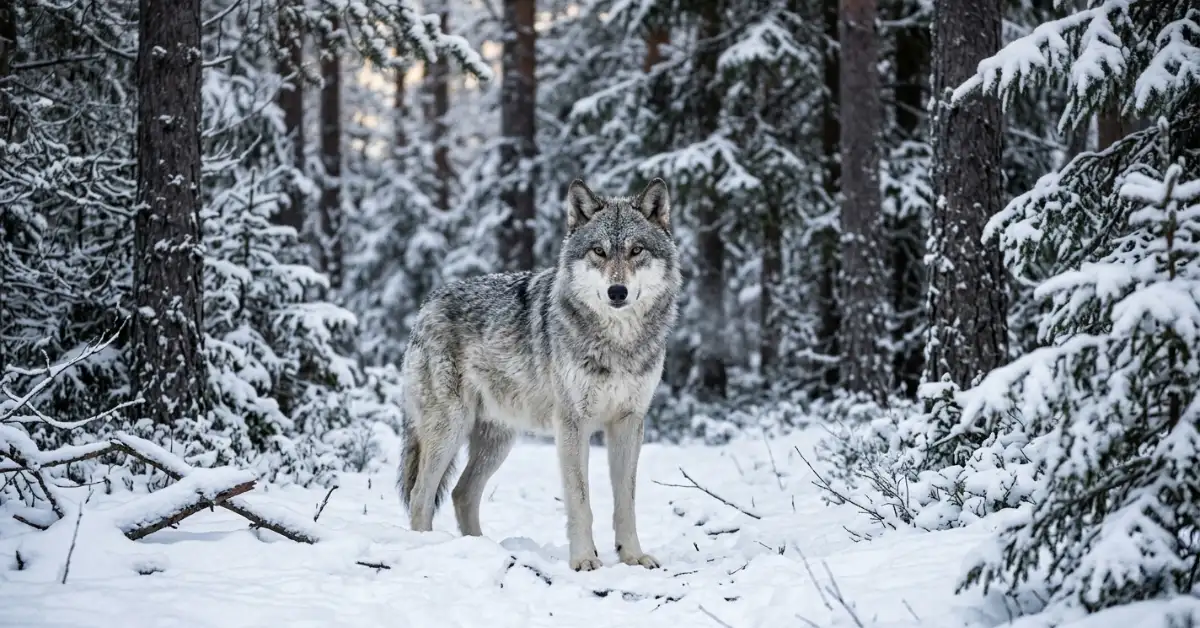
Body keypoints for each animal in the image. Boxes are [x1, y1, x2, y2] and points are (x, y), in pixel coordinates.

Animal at [397, 178, 680, 571]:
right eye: (599, 251)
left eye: (636, 250)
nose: (617, 291)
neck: (617, 343)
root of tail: (426, 304)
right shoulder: (572, 424)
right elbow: (580, 500)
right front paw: (584, 560)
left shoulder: (628, 422)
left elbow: (626, 502)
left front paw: (633, 556)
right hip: (448, 430)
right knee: (422, 496)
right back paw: (428, 548)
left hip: (497, 441)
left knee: (461, 493)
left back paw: (482, 549)